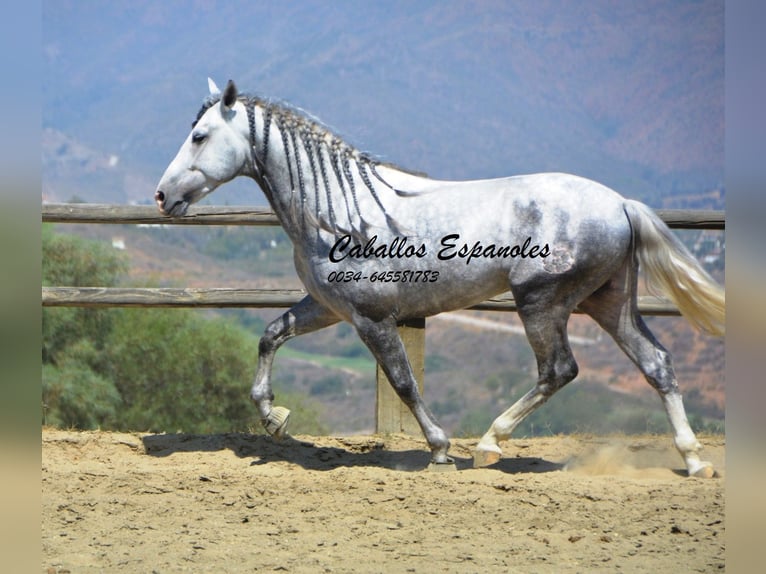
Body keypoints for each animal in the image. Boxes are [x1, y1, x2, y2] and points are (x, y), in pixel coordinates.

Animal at [154, 80, 728, 476]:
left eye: (200, 136)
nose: (162, 197)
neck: (337, 211)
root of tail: (621, 204)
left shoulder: (372, 318)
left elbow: (403, 381)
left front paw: (440, 448)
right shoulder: (328, 308)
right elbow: (270, 335)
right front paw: (274, 417)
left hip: (542, 301)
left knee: (559, 369)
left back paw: (489, 445)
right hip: (607, 301)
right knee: (656, 363)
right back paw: (694, 460)